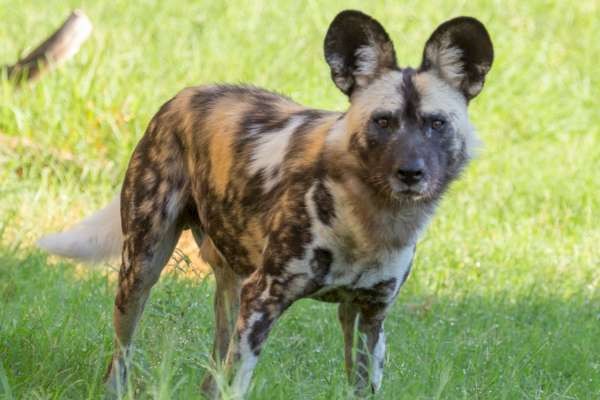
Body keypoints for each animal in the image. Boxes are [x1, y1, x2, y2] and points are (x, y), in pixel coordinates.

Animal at [39, 9, 494, 400]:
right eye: (383, 122)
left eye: (436, 123)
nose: (411, 172)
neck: (371, 220)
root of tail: (184, 95)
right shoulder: (264, 300)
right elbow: (237, 384)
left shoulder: (369, 318)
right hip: (143, 268)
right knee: (122, 356)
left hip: (233, 286)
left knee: (212, 371)